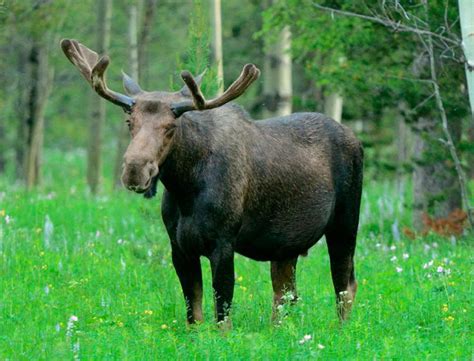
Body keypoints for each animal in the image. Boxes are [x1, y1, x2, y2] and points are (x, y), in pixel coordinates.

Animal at [59, 38, 362, 324]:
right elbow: (193, 315)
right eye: (129, 122)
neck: (185, 190)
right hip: (285, 244)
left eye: (171, 127)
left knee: (345, 285)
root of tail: (356, 139)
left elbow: (222, 315)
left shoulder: (223, 243)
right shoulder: (179, 247)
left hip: (345, 223)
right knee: (285, 293)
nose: (135, 170)